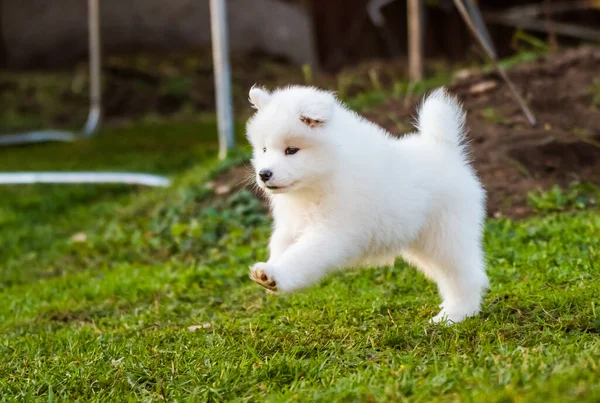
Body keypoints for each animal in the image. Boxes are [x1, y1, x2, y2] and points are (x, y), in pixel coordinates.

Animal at [244, 86, 488, 326]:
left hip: (446, 236)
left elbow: (300, 257)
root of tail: (444, 150)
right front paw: (268, 270)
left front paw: (275, 275)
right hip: (422, 242)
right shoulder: (291, 225)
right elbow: (281, 247)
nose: (264, 174)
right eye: (264, 149)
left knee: (465, 275)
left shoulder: (330, 232)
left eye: (291, 150)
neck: (323, 176)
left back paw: (456, 314)